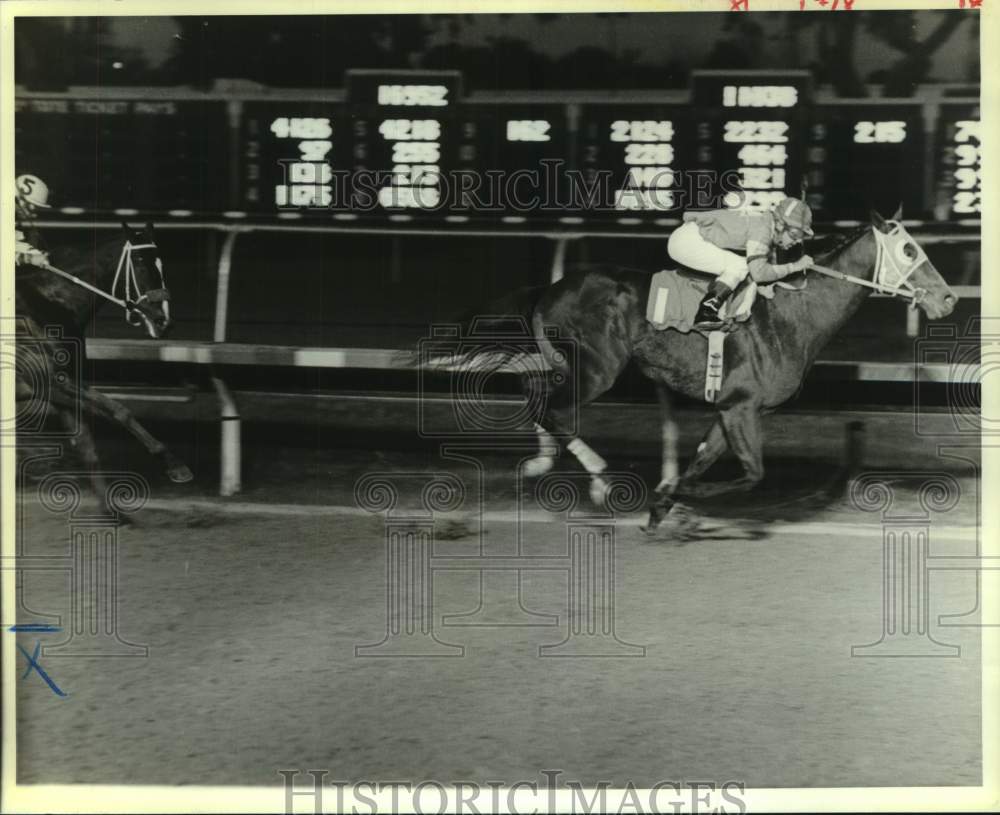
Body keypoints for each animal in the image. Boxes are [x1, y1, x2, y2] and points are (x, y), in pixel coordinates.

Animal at [15, 222, 191, 516]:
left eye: (161, 264)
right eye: (140, 263)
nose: (163, 321)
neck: (51, 304)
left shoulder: (63, 388)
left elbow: (87, 445)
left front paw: (112, 510)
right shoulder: (53, 381)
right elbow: (119, 411)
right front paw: (173, 462)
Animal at [442, 207, 956, 532]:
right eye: (909, 251)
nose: (948, 298)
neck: (791, 314)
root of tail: (551, 288)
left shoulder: (733, 408)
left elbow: (704, 458)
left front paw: (666, 503)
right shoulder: (742, 407)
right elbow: (752, 475)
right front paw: (678, 500)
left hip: (570, 363)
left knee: (536, 393)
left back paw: (546, 462)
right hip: (598, 368)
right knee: (549, 408)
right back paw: (599, 479)